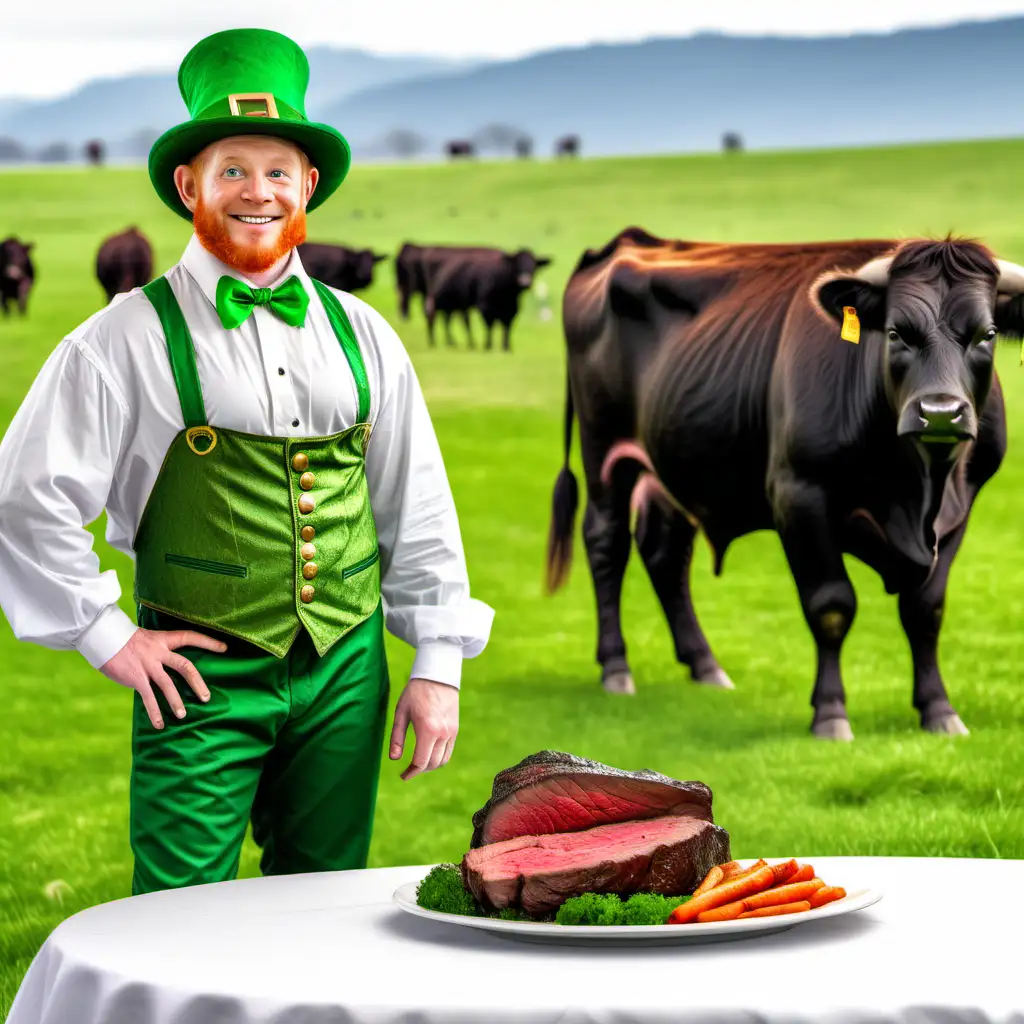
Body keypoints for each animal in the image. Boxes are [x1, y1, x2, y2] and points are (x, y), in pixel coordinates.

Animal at [419, 245, 552, 350]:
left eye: (533, 265)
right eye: (517, 264)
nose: (525, 282)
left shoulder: (512, 310)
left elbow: (507, 328)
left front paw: (506, 347)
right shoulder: (485, 307)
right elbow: (489, 326)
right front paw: (488, 345)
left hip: (453, 304)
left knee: (449, 320)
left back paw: (456, 343)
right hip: (435, 300)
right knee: (433, 318)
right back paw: (434, 342)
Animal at [544, 224, 1015, 741]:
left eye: (987, 334)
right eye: (895, 332)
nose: (940, 412)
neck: (919, 488)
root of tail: (627, 242)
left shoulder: (960, 510)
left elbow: (925, 609)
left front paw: (938, 710)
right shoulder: (800, 495)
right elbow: (831, 605)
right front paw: (830, 713)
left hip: (672, 463)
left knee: (664, 552)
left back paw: (705, 666)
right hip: (604, 450)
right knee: (606, 542)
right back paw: (616, 667)